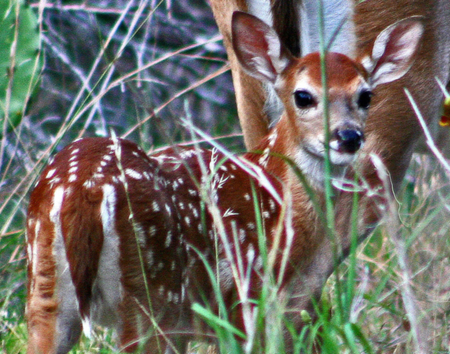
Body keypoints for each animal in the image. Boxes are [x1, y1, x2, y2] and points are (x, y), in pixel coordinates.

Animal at [27, 11, 422, 354]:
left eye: (365, 95)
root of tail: (82, 191)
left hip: (45, 290)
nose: (348, 136)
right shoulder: (248, 297)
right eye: (303, 95)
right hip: (153, 291)